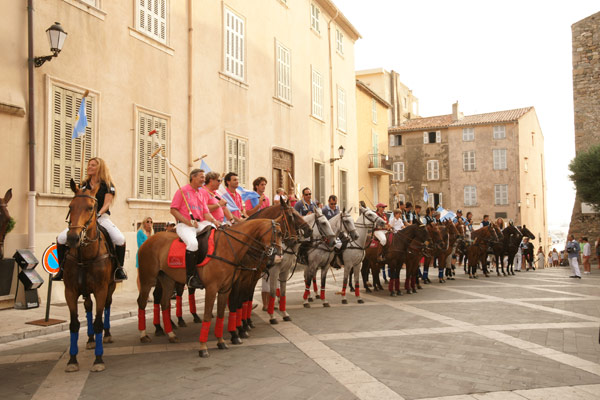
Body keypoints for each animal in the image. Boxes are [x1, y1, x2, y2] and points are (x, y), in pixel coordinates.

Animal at [61, 179, 117, 372]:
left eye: (91, 207)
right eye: (70, 206)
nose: (72, 238)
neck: (84, 256)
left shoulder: (101, 289)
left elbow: (99, 321)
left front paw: (98, 359)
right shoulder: (70, 291)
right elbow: (74, 324)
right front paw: (72, 360)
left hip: (110, 287)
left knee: (106, 306)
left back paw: (106, 335)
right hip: (85, 290)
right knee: (88, 307)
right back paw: (91, 339)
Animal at [137, 217, 282, 358]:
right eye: (279, 233)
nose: (279, 256)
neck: (227, 247)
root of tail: (149, 240)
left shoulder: (226, 289)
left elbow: (221, 314)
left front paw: (221, 341)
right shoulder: (212, 288)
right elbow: (208, 316)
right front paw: (203, 347)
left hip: (167, 280)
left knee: (164, 303)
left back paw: (171, 334)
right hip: (147, 280)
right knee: (142, 302)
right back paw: (144, 335)